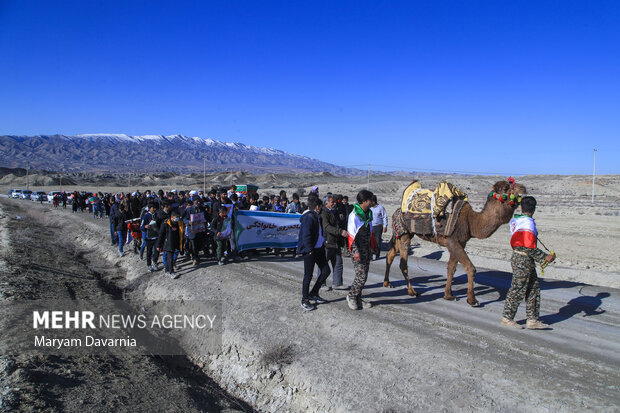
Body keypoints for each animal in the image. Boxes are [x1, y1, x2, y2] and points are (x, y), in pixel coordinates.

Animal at [386, 180, 524, 306]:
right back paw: (412, 292)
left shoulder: (459, 243)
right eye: (506, 187)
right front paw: (472, 300)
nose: (523, 188)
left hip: (402, 233)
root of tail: (396, 211)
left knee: (390, 254)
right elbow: (470, 268)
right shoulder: (453, 241)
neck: (471, 221)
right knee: (403, 263)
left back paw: (387, 283)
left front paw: (449, 295)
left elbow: (451, 268)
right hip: (404, 234)